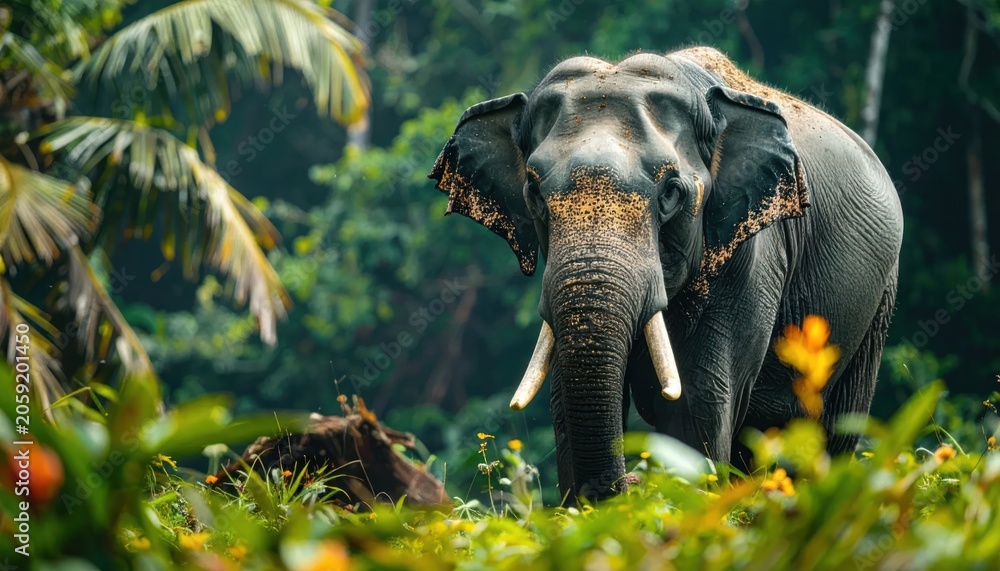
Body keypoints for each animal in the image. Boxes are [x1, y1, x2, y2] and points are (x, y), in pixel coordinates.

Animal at [428, 47, 903, 502]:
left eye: (671, 192)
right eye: (533, 192)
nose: (631, 484)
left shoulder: (752, 255)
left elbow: (698, 399)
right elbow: (564, 393)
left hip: (877, 302)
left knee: (833, 425)